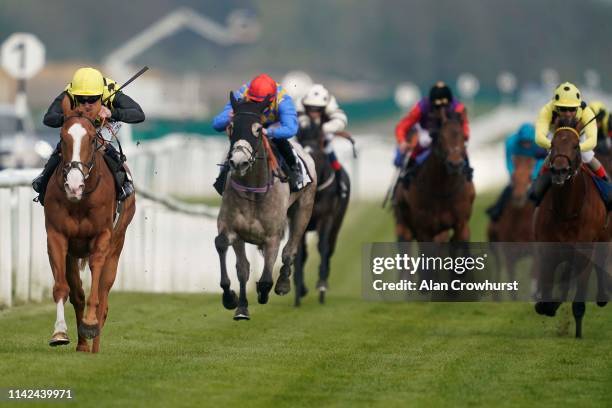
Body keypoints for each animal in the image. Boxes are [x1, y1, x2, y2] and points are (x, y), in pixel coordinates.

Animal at [45, 96, 135, 354]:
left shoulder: (102, 236)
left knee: (104, 295)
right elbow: (62, 288)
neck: (80, 200)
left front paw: (91, 323)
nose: (74, 186)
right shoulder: (56, 236)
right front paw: (59, 333)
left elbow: (97, 280)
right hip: (73, 254)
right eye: (62, 138)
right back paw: (83, 345)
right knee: (78, 294)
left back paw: (94, 344)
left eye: (93, 138)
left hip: (117, 244)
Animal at [215, 91, 318, 318]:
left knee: (290, 250)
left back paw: (283, 283)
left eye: (257, 129)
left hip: (304, 209)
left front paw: (266, 291)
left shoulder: (272, 236)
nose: (238, 162)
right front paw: (234, 301)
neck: (253, 191)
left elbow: (264, 281)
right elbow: (235, 261)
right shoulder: (233, 229)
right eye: (231, 126)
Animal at [296, 122, 352, 304]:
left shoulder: (326, 217)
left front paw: (321, 285)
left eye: (315, 155)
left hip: (337, 222)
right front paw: (299, 289)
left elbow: (323, 247)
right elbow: (300, 252)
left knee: (330, 247)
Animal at [394, 109, 476, 242]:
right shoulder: (424, 231)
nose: (455, 164)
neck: (443, 191)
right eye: (441, 137)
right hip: (404, 227)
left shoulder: (461, 226)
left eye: (463, 137)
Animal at [532, 118, 608, 338]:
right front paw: (547, 306)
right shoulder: (548, 250)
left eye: (575, 146)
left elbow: (579, 298)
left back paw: (603, 295)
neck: (567, 210)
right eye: (552, 145)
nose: (559, 170)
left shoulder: (585, 251)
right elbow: (547, 292)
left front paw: (578, 334)